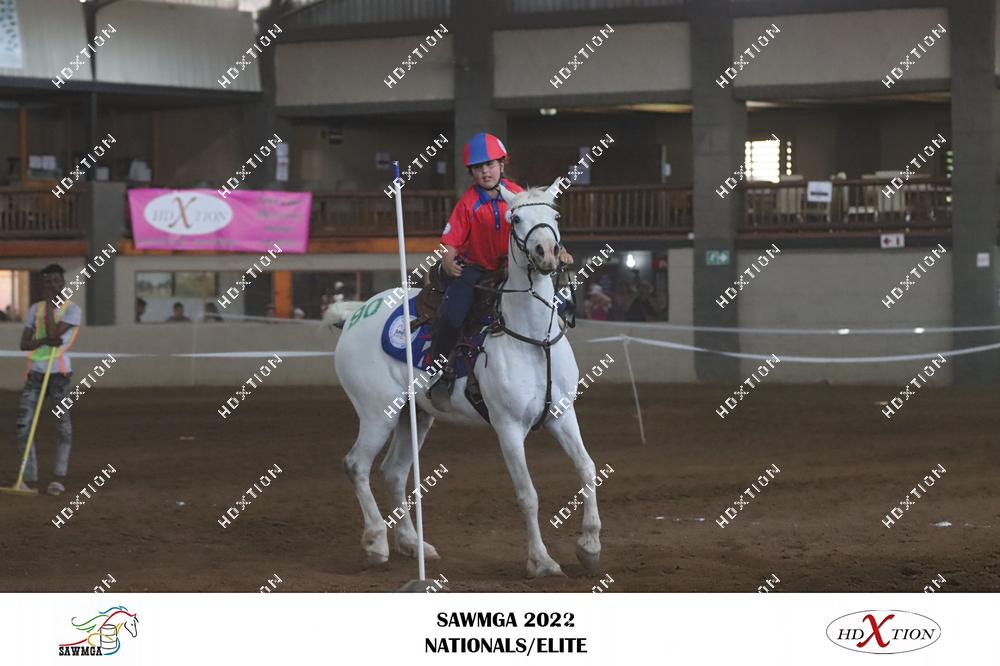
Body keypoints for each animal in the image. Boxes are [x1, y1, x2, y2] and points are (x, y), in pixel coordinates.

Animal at [333, 180, 602, 578]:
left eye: (555, 216)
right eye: (515, 218)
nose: (547, 253)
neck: (531, 337)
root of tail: (354, 315)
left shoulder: (562, 415)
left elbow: (587, 469)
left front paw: (590, 546)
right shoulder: (508, 428)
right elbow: (528, 495)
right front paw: (541, 560)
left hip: (414, 416)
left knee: (393, 473)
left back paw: (413, 544)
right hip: (377, 413)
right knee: (356, 465)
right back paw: (377, 543)